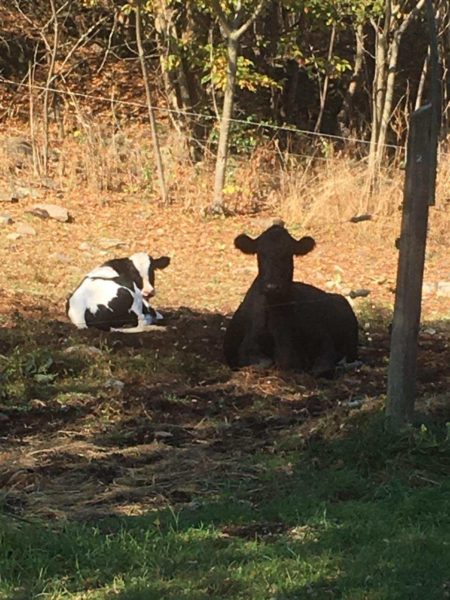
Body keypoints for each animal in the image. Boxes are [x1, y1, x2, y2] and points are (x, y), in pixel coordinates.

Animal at [224, 225, 358, 376]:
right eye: (260, 253)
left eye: (288, 253)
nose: (272, 286)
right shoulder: (248, 346)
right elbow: (265, 363)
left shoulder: (323, 340)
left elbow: (320, 367)